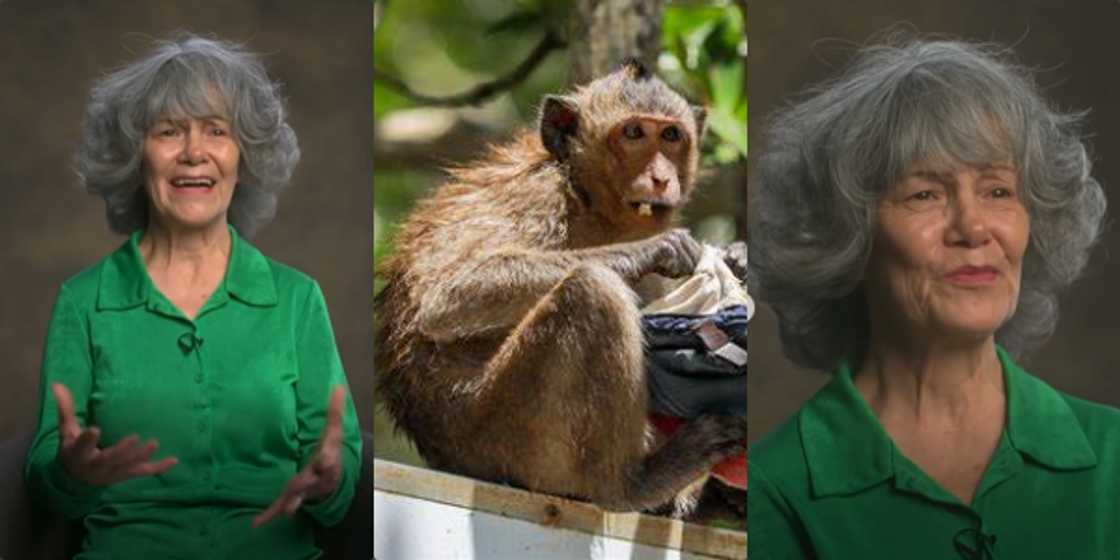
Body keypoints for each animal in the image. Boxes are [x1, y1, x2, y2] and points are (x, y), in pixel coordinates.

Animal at [375, 60, 746, 515]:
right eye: (633, 133)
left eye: (671, 136)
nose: (661, 178)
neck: (588, 200)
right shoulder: (537, 196)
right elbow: (448, 298)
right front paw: (657, 248)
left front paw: (736, 259)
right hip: (505, 432)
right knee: (593, 291)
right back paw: (630, 485)